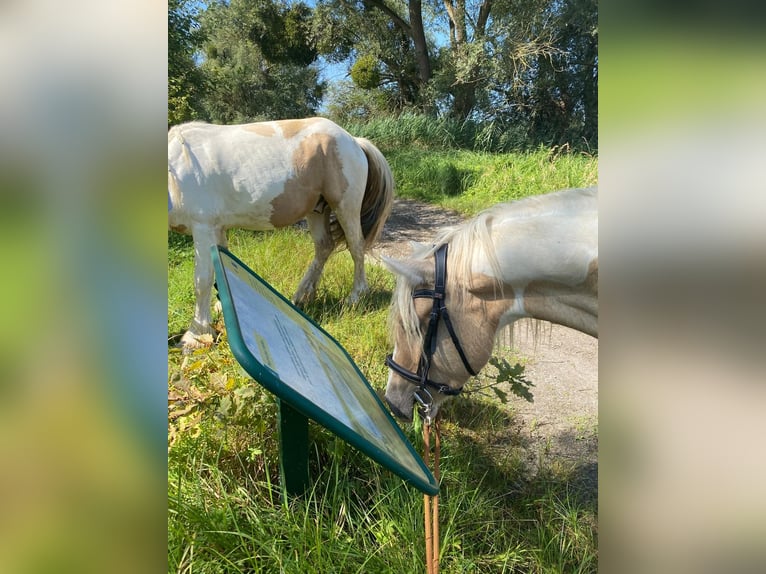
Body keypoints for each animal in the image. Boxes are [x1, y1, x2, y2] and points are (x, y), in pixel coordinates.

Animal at [169, 117, 396, 348]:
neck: (177, 168)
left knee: (356, 247)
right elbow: (219, 269)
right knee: (324, 247)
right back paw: (302, 296)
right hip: (317, 210)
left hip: (345, 206)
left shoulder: (203, 226)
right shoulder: (217, 227)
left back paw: (355, 297)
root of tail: (354, 141)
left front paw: (195, 336)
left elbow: (202, 280)